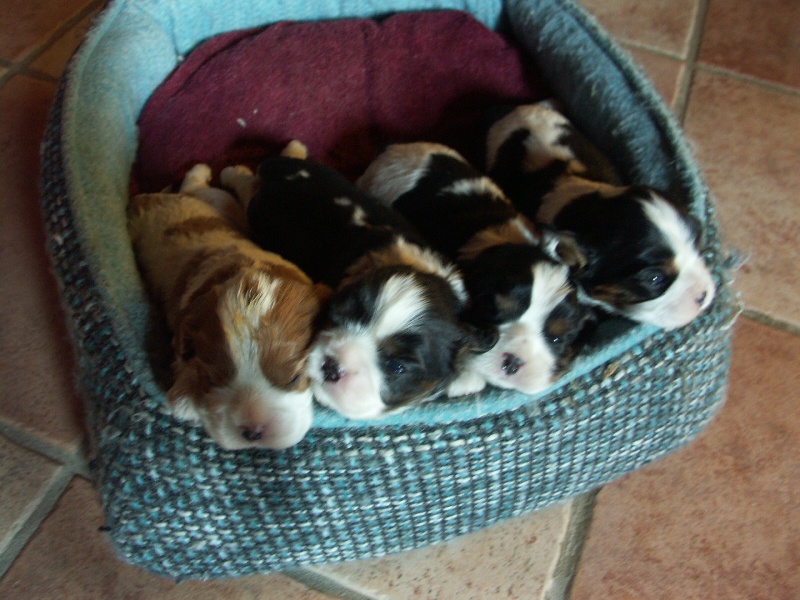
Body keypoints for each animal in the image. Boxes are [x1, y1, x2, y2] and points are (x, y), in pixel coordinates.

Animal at [128, 162, 328, 448]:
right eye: (211, 377)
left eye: (294, 378)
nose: (253, 433)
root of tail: (149, 199)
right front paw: (186, 399)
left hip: (221, 203)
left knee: (195, 187)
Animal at [222, 143, 490, 420]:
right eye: (337, 315)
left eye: (397, 366)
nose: (331, 366)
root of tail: (288, 175)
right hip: (258, 213)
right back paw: (233, 172)